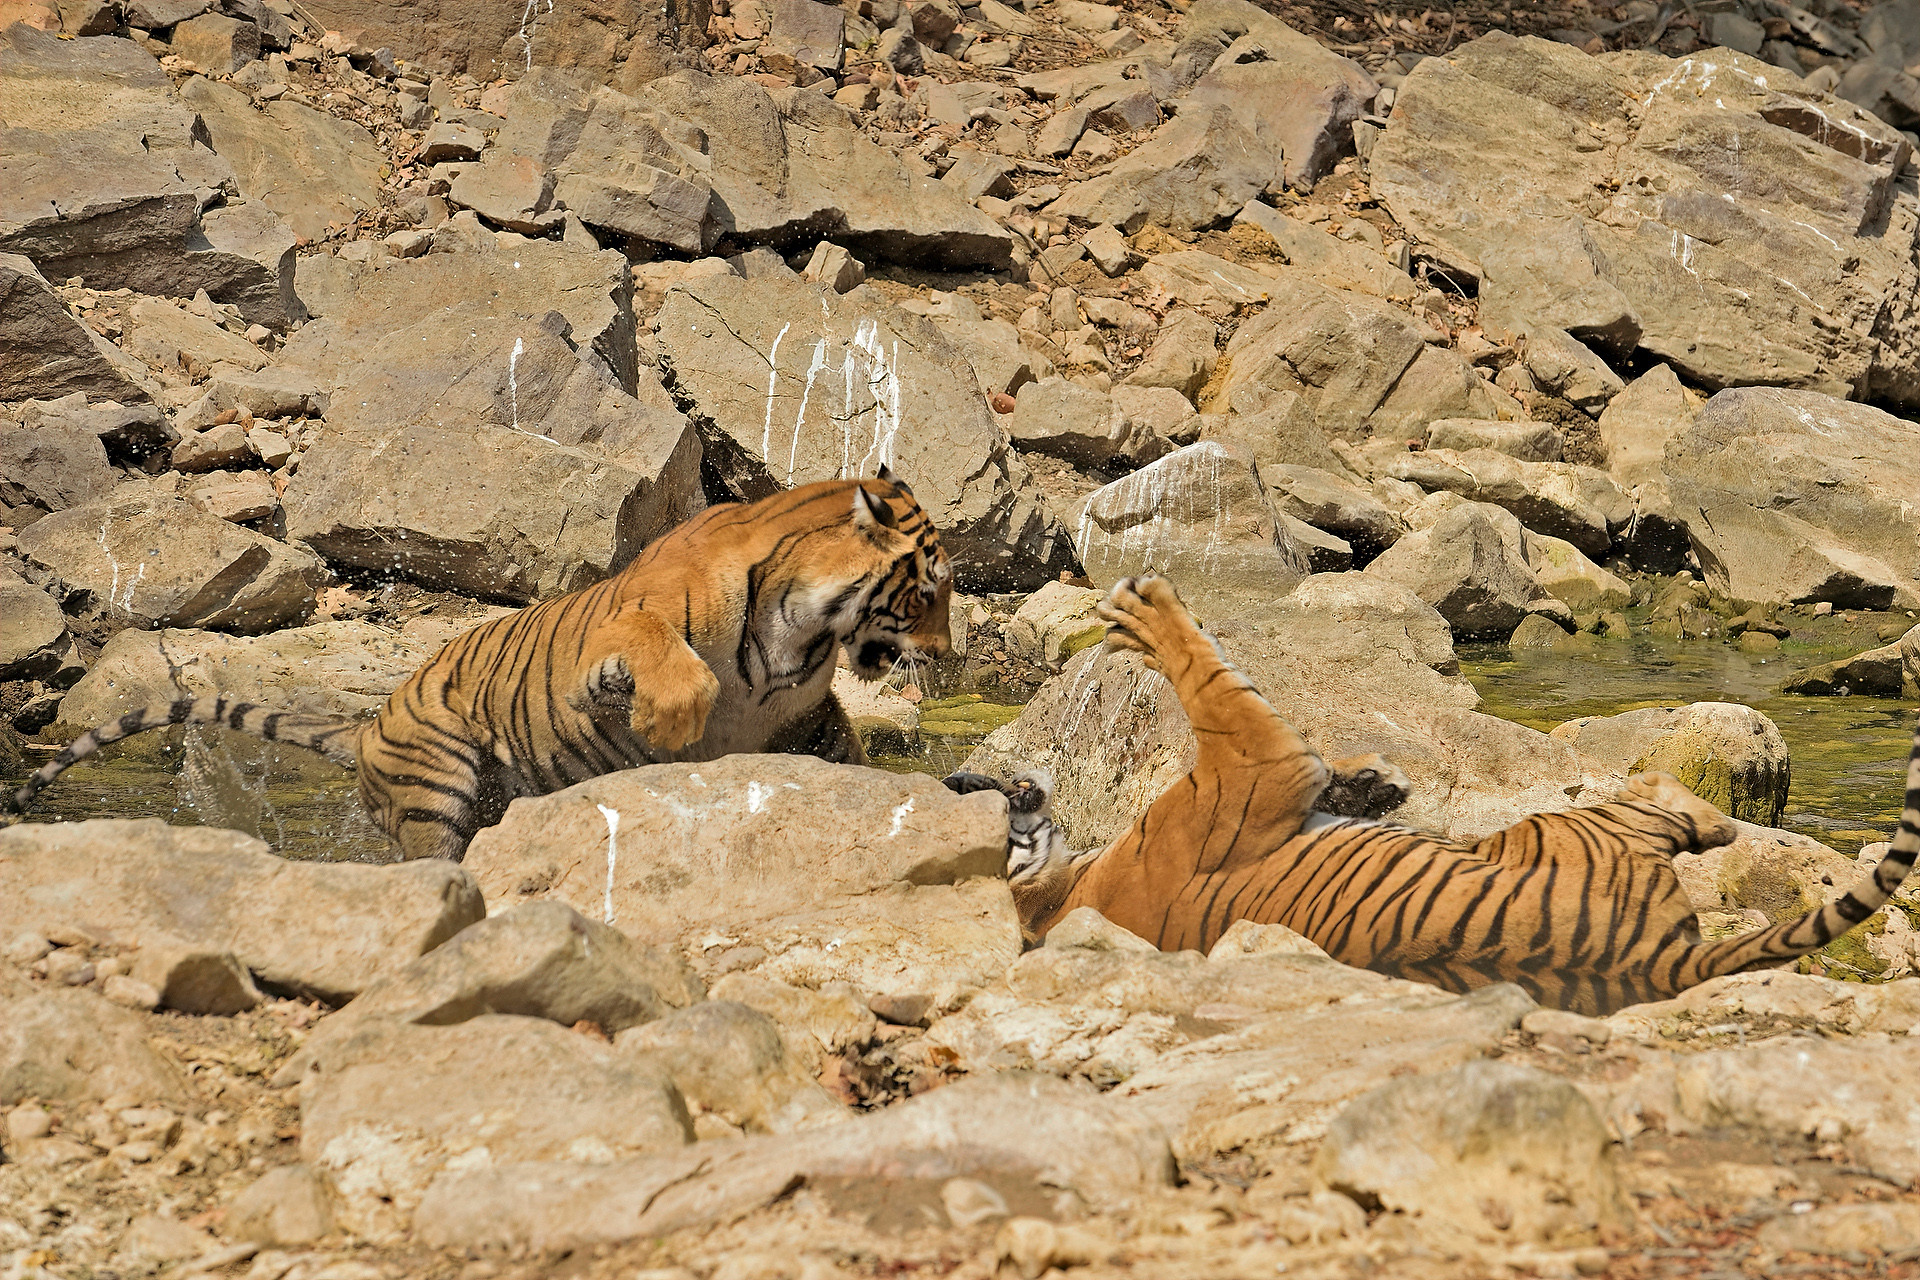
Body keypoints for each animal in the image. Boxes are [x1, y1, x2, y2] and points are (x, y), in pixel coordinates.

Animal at [4, 469, 953, 861]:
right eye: (929, 590)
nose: (946, 655)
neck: (808, 627)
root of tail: (365, 726)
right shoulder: (625, 626)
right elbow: (678, 667)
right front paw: (671, 722)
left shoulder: (805, 718)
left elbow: (848, 759)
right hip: (440, 785)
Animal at [972, 574, 1920, 1016]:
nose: (1009, 788)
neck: (1067, 890)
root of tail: (1661, 960)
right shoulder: (1255, 763)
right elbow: (1207, 675)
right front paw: (1146, 615)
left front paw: (1373, 779)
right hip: (1569, 824)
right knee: (1690, 811)